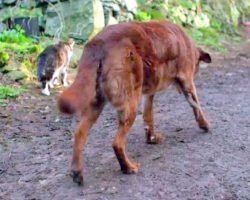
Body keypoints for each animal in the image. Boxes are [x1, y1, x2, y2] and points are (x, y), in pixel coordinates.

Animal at [58, 19, 211, 184]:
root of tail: (98, 44)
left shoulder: (149, 93)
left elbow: (148, 116)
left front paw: (151, 138)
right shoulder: (187, 82)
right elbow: (197, 106)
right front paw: (205, 124)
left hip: (96, 104)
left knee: (79, 134)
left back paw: (77, 172)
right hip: (130, 103)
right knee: (117, 143)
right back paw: (128, 167)